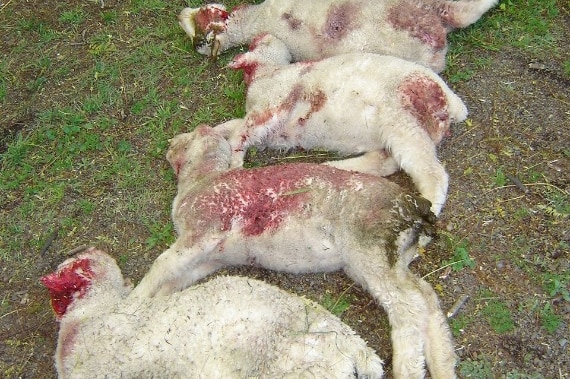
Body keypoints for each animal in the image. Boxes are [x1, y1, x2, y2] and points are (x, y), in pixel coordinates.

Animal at [130, 127, 458, 379]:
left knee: (408, 306)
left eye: (185, 138)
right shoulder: (211, 257)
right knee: (426, 296)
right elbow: (175, 278)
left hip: (371, 251)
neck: (199, 181)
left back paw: (408, 369)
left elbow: (162, 264)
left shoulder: (202, 231)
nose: (170, 144)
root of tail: (416, 209)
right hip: (385, 260)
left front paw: (134, 299)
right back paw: (443, 364)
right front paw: (156, 302)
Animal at [213, 35, 466, 217]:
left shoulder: (273, 102)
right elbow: (233, 126)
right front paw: (213, 133)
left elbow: (240, 133)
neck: (268, 72)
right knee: (385, 162)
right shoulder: (268, 127)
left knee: (433, 174)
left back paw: (427, 211)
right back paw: (336, 167)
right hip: (399, 131)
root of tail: (450, 100)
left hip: (403, 123)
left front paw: (232, 165)